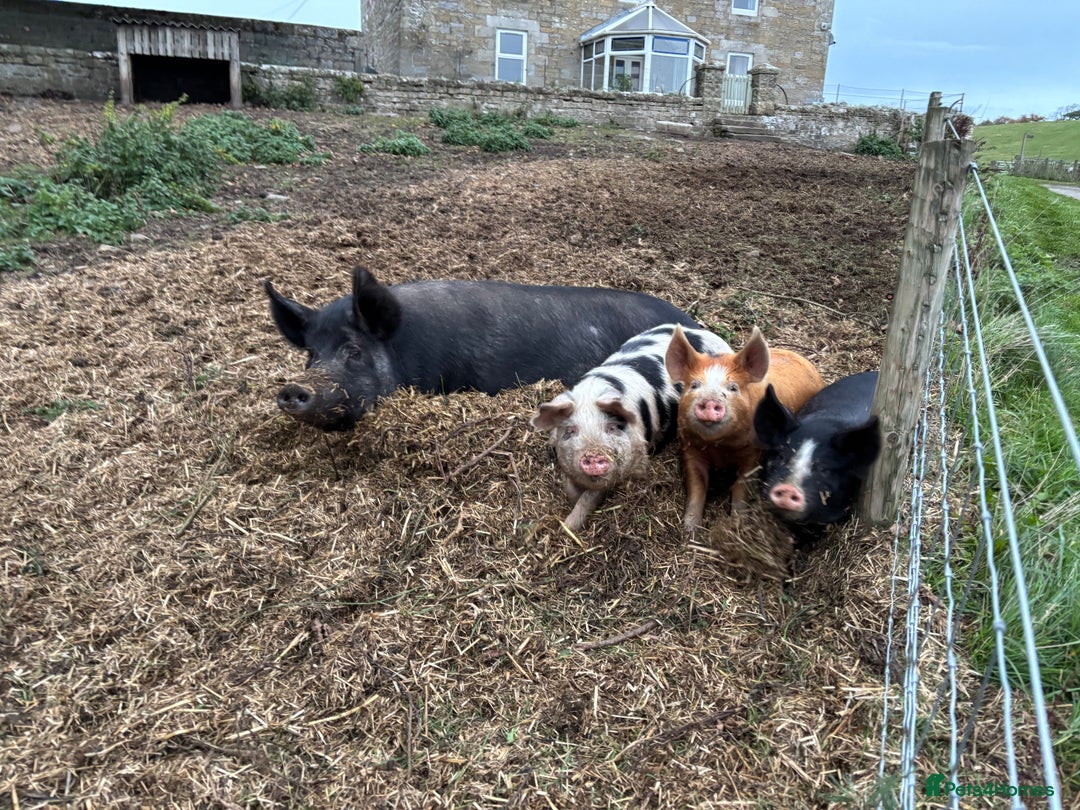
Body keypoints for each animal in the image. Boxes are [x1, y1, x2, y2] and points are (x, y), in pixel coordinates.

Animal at [531, 324, 733, 531]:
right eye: (570, 430)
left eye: (612, 427)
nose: (593, 455)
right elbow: (569, 485)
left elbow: (592, 496)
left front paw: (567, 527)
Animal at [665, 325, 824, 533]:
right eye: (694, 385)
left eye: (733, 388)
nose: (710, 401)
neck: (719, 447)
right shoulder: (689, 448)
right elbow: (697, 485)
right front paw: (690, 529)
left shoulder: (752, 454)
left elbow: (741, 488)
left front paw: (737, 522)